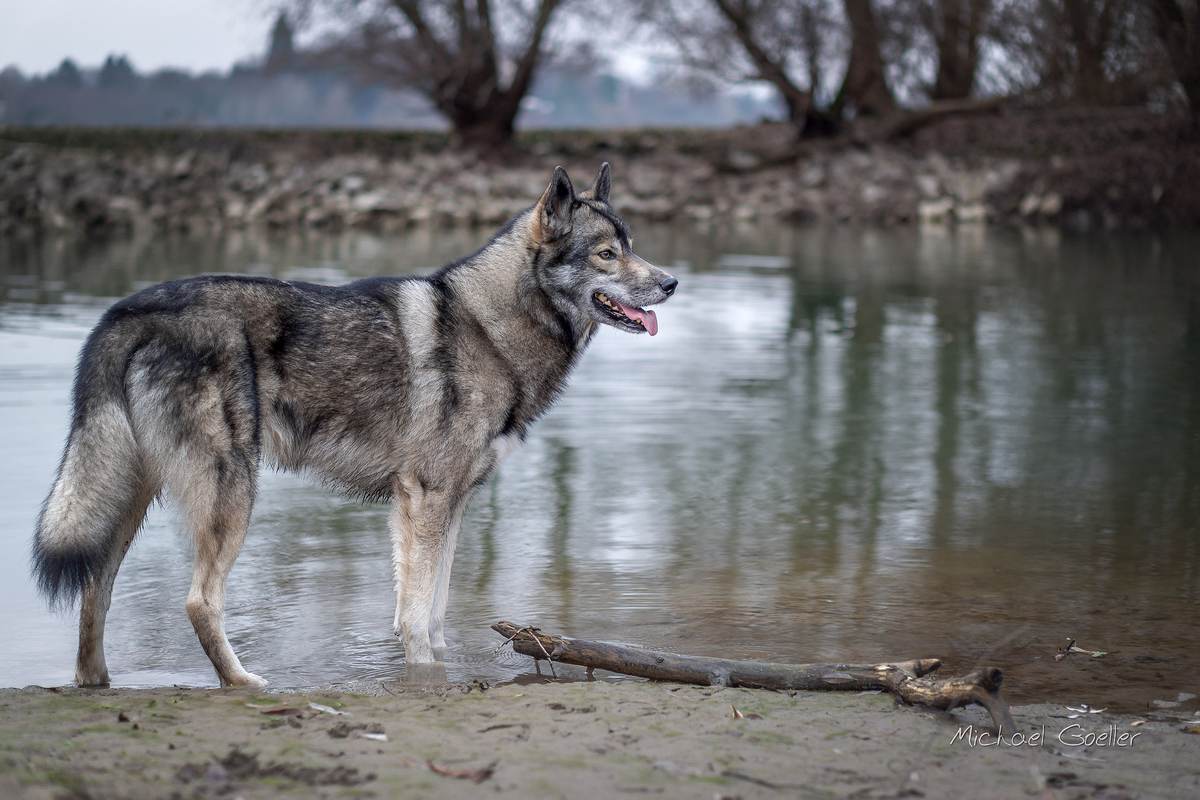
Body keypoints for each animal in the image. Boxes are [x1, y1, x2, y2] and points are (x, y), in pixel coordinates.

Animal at [32, 163, 677, 687]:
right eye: (606, 254)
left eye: (631, 245)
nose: (670, 283)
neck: (490, 328)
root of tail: (130, 311)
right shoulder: (429, 499)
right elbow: (416, 615)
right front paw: (424, 678)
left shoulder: (444, 504)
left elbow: (432, 612)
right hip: (230, 493)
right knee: (197, 601)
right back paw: (241, 682)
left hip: (133, 496)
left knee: (94, 589)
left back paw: (95, 681)